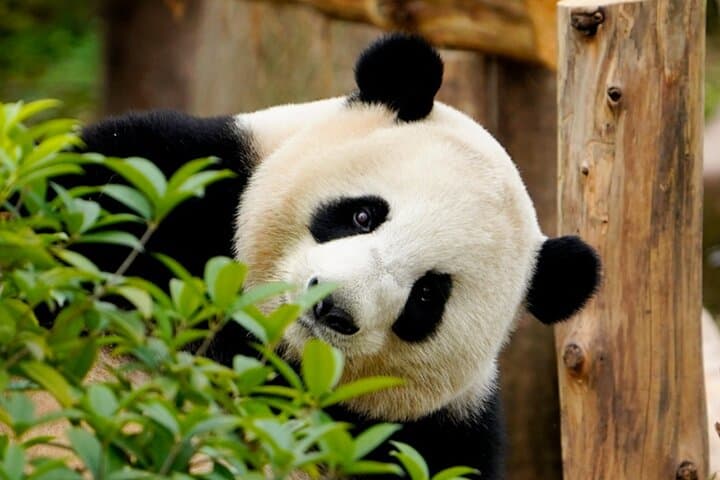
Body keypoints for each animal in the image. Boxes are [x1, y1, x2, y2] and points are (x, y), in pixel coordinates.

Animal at [79, 34, 601, 479]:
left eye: (427, 295)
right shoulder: (173, 175)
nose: (332, 308)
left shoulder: (442, 433)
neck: (281, 353)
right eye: (363, 215)